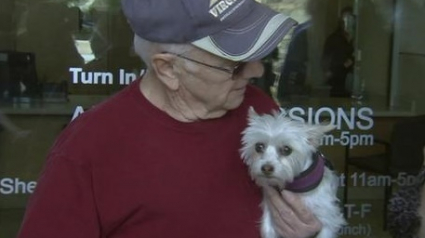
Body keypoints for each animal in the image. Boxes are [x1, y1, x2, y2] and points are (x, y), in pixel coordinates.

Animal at [238, 107, 344, 238]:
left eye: (287, 149)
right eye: (259, 147)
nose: (266, 168)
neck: (296, 187)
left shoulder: (328, 219)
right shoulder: (270, 217)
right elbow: (268, 230)